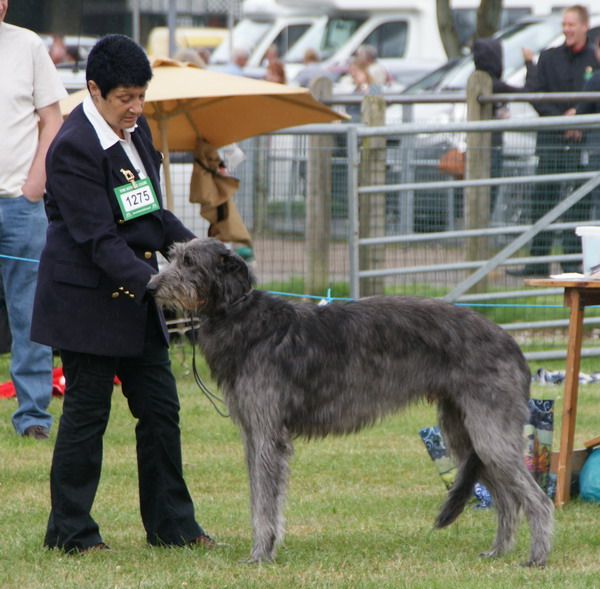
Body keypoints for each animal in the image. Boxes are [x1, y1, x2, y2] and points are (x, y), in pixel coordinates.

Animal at [148, 238, 556, 564]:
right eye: (173, 255)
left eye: (189, 261)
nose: (151, 286)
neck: (243, 316)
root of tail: (512, 344)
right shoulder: (252, 435)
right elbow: (259, 498)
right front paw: (264, 549)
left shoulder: (267, 435)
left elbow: (265, 501)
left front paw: (260, 555)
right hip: (463, 433)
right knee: (507, 500)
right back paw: (497, 552)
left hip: (489, 433)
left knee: (538, 499)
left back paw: (536, 558)